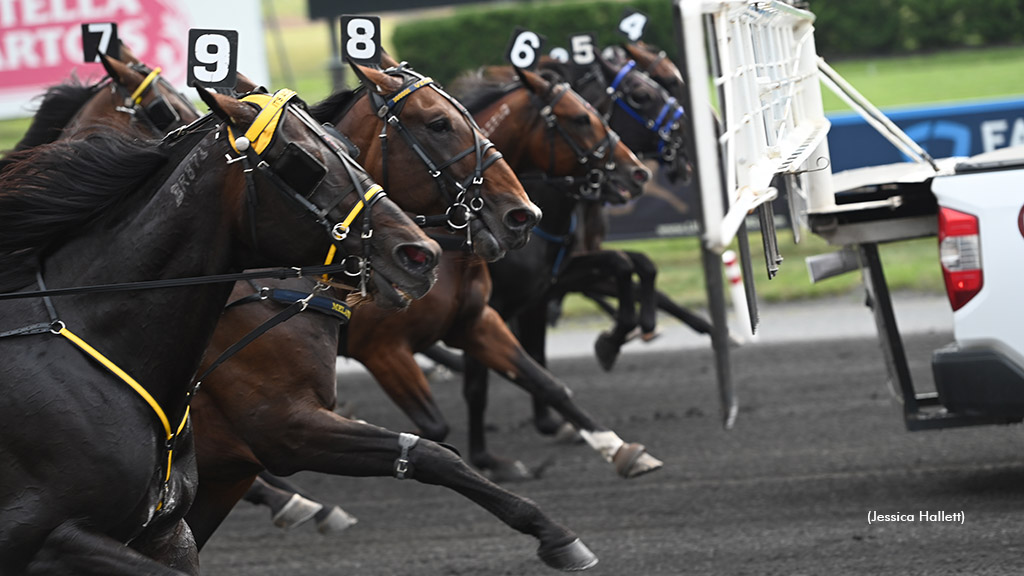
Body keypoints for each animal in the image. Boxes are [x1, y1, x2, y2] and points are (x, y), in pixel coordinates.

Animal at [184, 57, 598, 569]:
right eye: (438, 124)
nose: (522, 214)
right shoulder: (323, 396)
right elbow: (433, 439)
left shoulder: (473, 319)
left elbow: (532, 381)